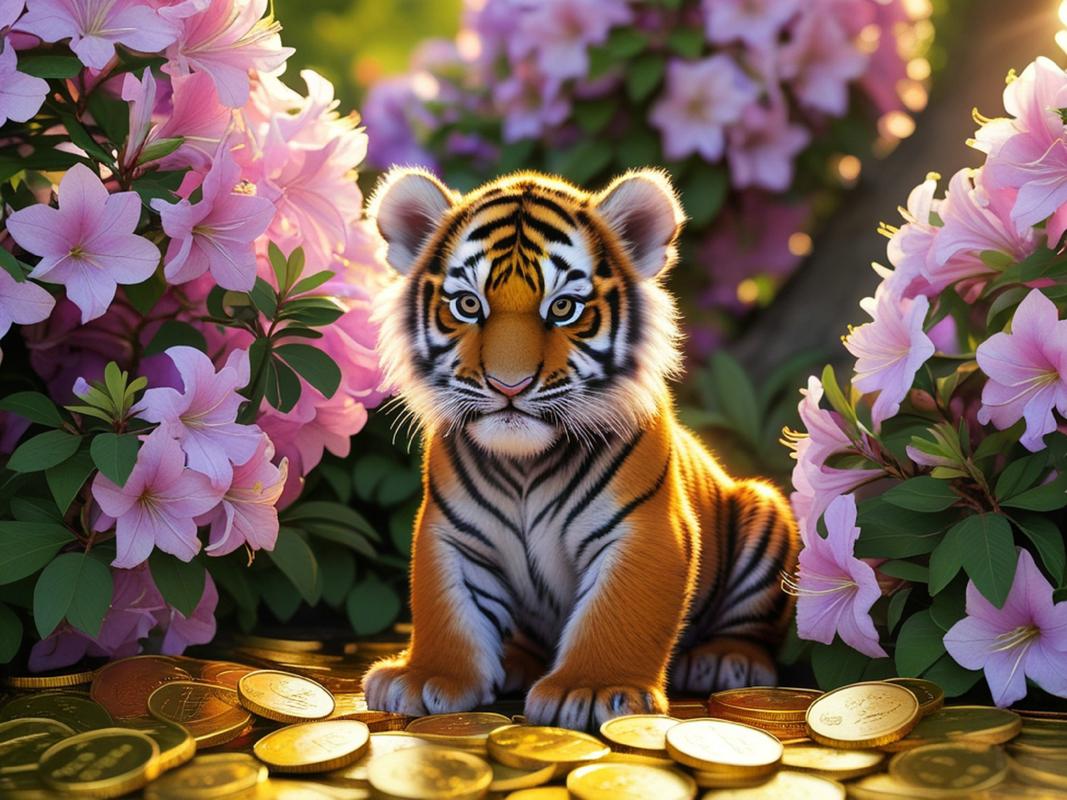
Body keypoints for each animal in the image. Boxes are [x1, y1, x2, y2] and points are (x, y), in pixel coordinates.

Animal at [361, 166, 800, 731]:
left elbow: (616, 612)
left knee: (749, 625)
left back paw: (726, 659)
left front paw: (591, 690)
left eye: (564, 308)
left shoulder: (643, 529)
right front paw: (423, 678)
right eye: (468, 305)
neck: (525, 466)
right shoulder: (451, 534)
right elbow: (446, 608)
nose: (508, 385)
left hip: (763, 510)